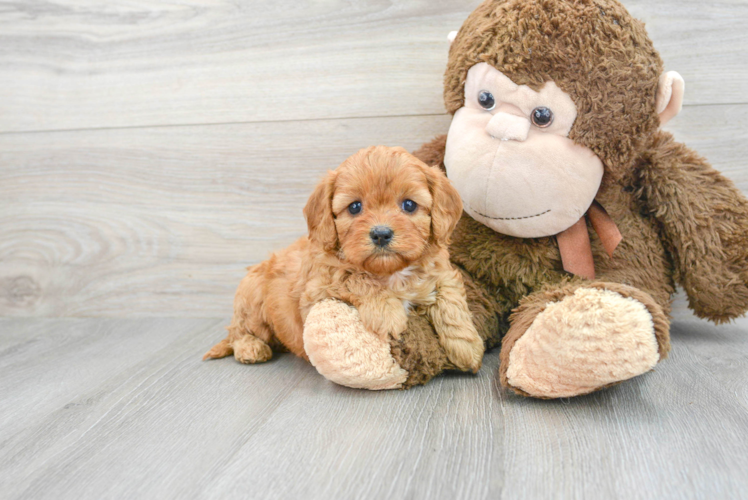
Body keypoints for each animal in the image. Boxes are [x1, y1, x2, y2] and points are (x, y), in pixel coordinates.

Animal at [203, 145, 486, 372]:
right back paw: (250, 347)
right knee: (239, 331)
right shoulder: (317, 291)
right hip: (251, 298)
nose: (381, 234)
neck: (390, 273)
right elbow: (355, 278)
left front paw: (467, 347)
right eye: (355, 207)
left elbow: (451, 301)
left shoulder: (441, 271)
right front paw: (387, 313)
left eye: (409, 205)